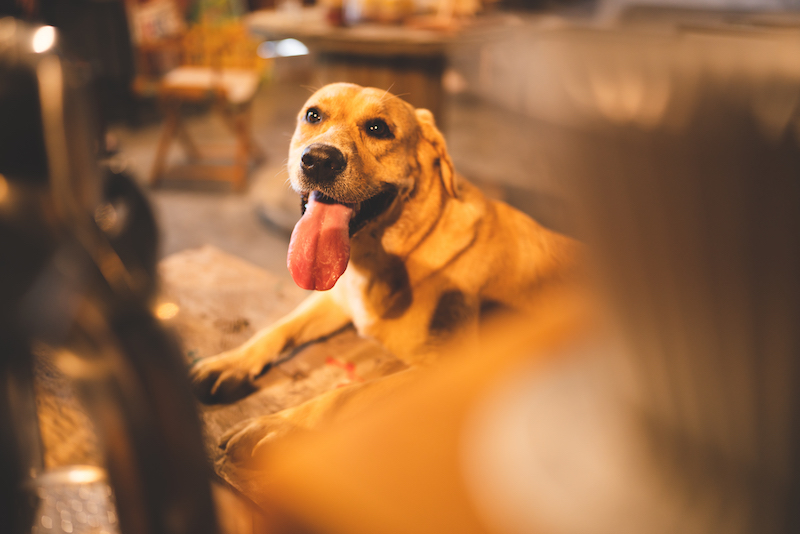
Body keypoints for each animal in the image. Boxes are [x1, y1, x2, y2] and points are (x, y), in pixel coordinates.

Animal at [189, 84, 576, 460]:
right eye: (313, 115)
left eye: (378, 128)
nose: (319, 160)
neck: (393, 252)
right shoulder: (338, 301)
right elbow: (278, 328)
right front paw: (232, 362)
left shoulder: (447, 372)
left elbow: (347, 395)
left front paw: (279, 424)